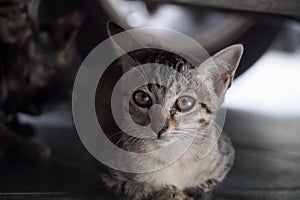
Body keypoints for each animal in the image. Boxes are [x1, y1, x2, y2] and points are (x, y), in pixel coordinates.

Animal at [98, 22, 244, 200]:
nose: (158, 127)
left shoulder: (225, 157)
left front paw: (195, 191)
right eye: (142, 97)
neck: (172, 157)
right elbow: (137, 187)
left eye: (185, 102)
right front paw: (170, 193)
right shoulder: (107, 173)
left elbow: (207, 183)